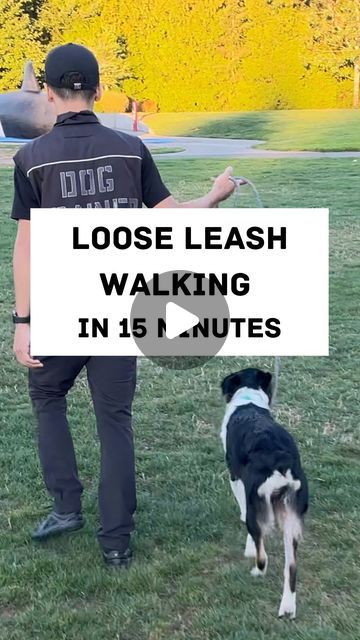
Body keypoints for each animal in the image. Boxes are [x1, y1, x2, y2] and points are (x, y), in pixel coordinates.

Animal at [221, 368, 308, 616]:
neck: (248, 400)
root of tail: (279, 463)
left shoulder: (235, 476)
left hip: (257, 511)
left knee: (262, 553)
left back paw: (257, 570)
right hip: (292, 522)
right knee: (291, 568)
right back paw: (287, 608)